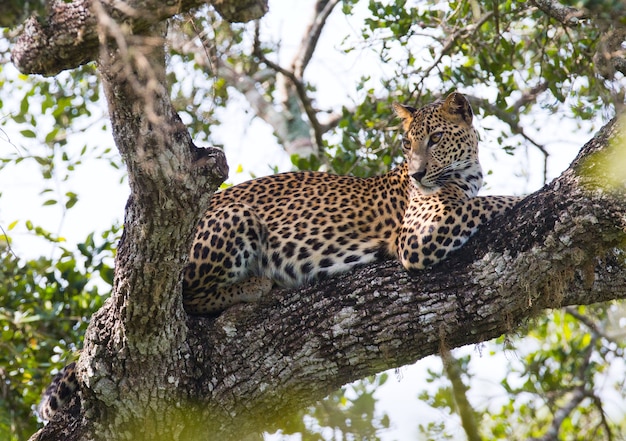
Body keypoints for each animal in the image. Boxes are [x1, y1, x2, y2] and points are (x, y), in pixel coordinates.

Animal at [36, 90, 520, 420]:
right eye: (407, 144)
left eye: (435, 138)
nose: (418, 174)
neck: (467, 172)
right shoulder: (417, 236)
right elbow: (487, 202)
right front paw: (522, 196)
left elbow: (481, 200)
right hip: (235, 216)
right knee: (188, 297)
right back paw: (256, 285)